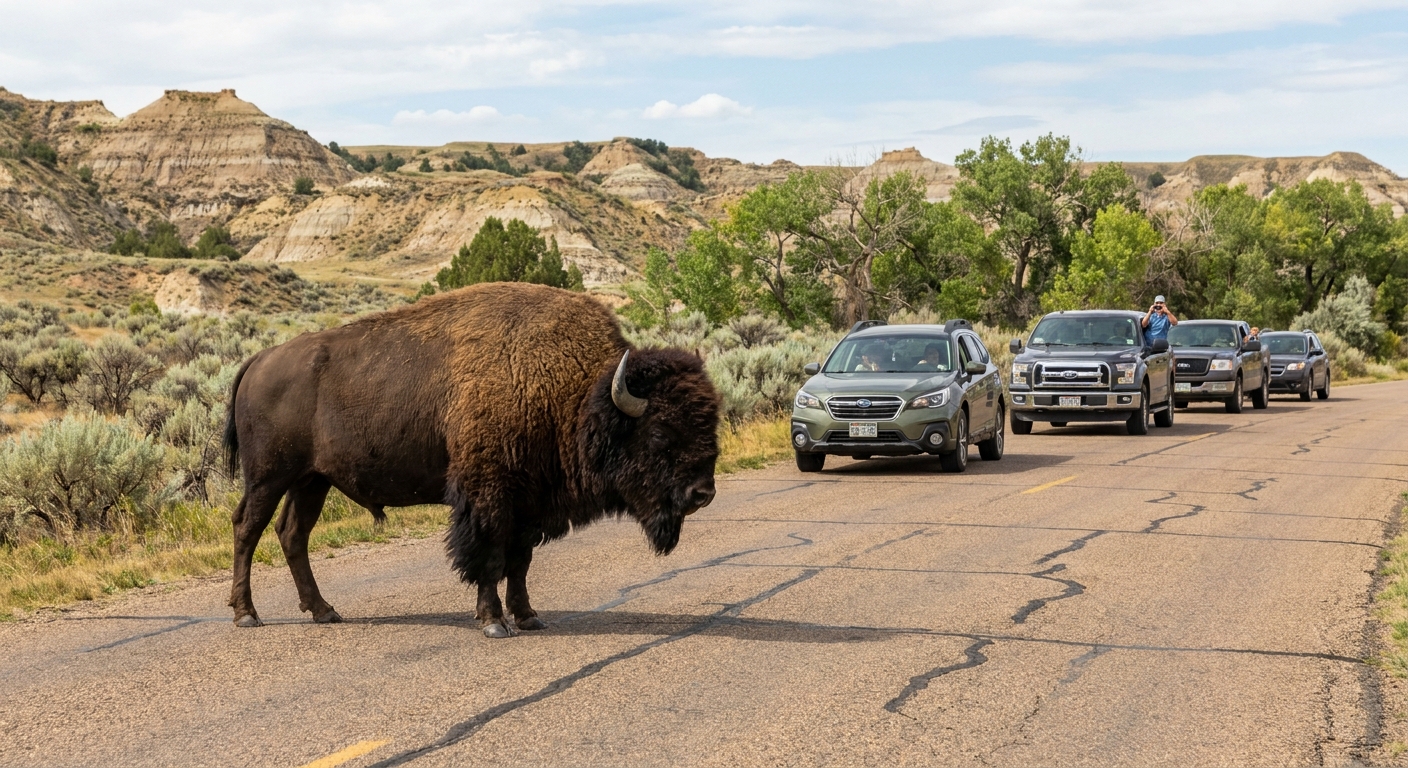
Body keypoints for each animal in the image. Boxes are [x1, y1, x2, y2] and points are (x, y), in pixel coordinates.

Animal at [223, 282, 720, 637]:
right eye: (660, 432)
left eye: (710, 424)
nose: (703, 493)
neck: (576, 395)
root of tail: (260, 360)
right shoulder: (490, 496)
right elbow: (490, 556)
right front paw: (493, 622)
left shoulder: (528, 503)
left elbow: (520, 561)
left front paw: (529, 617)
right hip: (268, 476)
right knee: (248, 528)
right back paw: (247, 615)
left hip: (312, 480)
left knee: (292, 534)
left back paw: (324, 611)